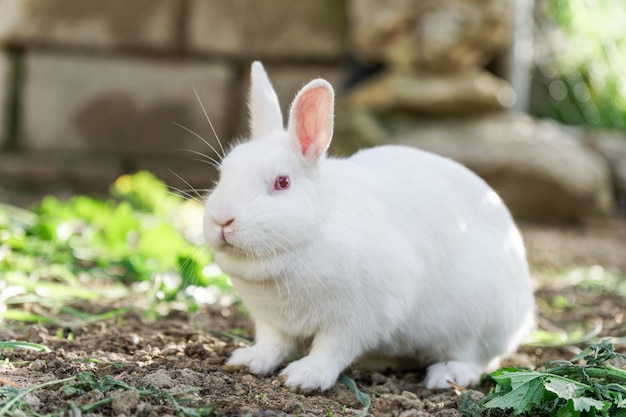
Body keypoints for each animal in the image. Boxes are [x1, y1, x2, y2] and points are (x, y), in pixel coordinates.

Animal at [202, 61, 532, 390]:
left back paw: (446, 375)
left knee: (477, 360)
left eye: (282, 182)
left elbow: (332, 349)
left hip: (476, 324)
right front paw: (247, 361)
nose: (222, 219)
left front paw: (304, 377)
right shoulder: (272, 322)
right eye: (223, 173)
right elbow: (273, 344)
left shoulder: (356, 320)